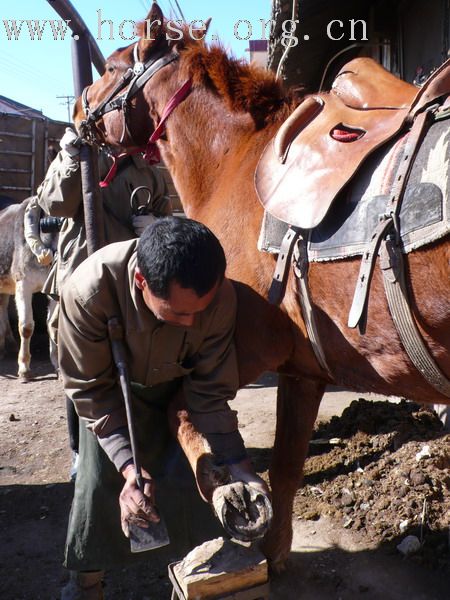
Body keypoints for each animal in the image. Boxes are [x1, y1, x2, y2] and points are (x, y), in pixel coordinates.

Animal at [74, 3, 450, 568]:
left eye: (113, 67)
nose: (78, 112)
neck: (235, 158)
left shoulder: (239, 346)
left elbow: (183, 410)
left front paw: (227, 489)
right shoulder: (304, 368)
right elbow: (288, 466)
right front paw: (272, 550)